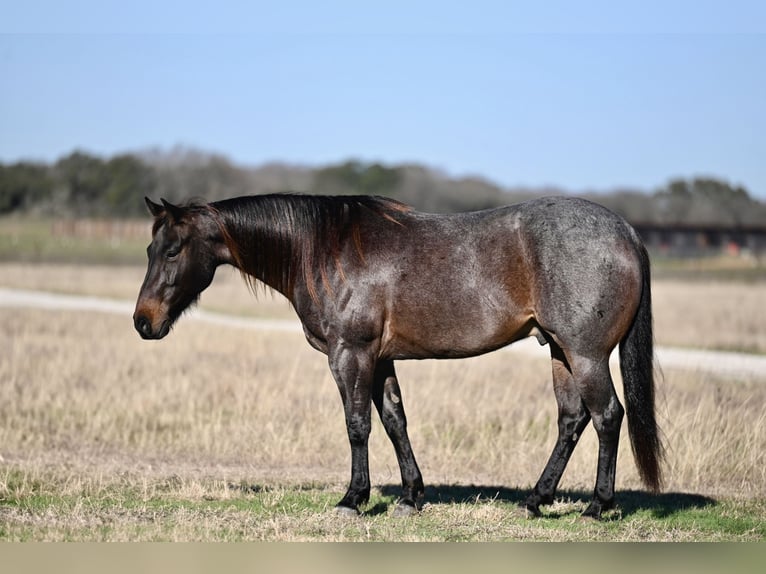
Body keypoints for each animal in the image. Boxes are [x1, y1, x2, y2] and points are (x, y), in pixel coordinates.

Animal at [135, 195, 664, 520]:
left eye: (173, 250)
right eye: (149, 248)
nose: (143, 321)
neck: (322, 249)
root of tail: (626, 232)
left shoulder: (350, 354)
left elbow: (357, 426)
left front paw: (353, 498)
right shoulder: (380, 360)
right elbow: (394, 421)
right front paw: (411, 497)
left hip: (585, 354)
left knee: (607, 416)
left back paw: (597, 506)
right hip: (558, 350)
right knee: (572, 419)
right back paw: (535, 500)